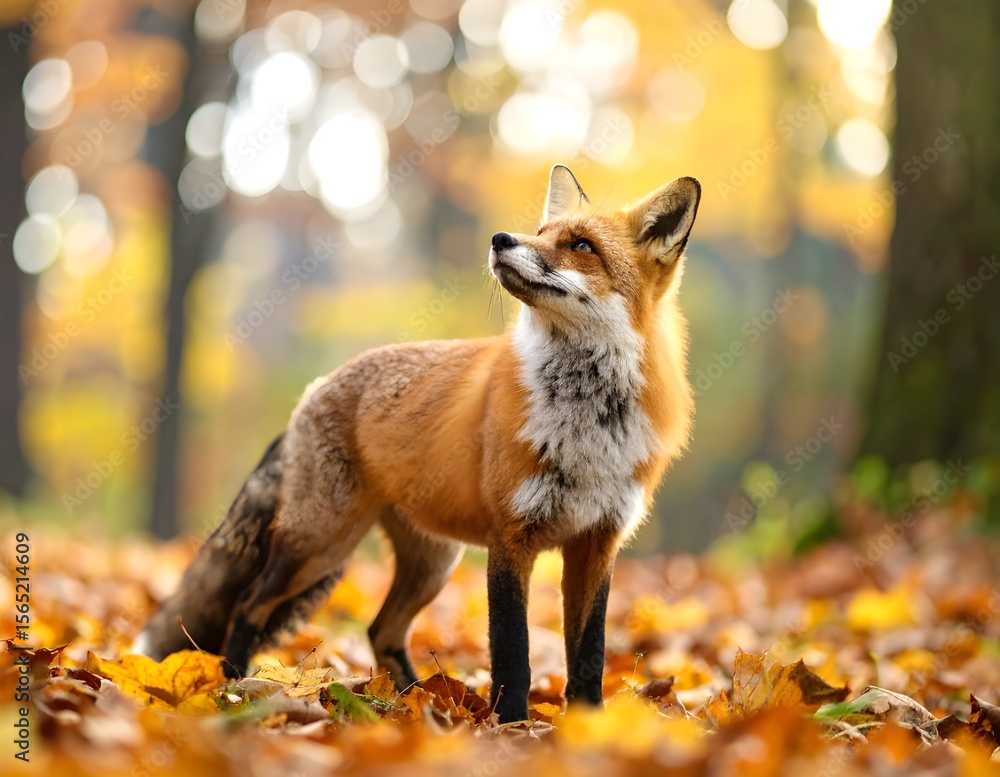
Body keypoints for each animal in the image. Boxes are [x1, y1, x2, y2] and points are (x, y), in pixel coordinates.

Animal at [138, 165, 700, 723]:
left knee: (380, 630)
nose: (500, 239)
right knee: (248, 605)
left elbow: (589, 653)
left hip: (429, 565)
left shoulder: (597, 544)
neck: (587, 424)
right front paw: (513, 724)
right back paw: (235, 686)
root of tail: (317, 386)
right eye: (540, 233)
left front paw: (590, 724)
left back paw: (416, 702)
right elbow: (512, 650)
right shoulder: (510, 537)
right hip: (319, 544)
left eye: (581, 245)